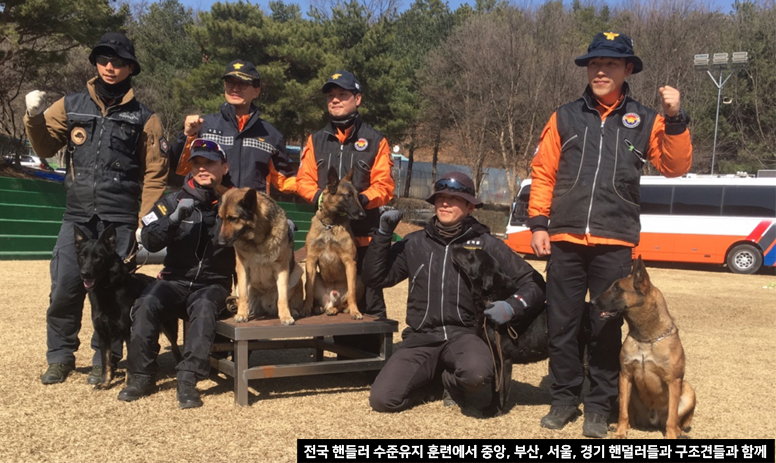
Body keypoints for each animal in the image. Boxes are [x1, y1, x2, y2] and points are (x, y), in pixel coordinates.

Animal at [73, 224, 182, 388]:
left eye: (98, 257)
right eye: (82, 256)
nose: (84, 274)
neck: (109, 290)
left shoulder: (129, 335)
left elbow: (131, 362)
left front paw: (128, 384)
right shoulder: (103, 336)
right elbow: (106, 363)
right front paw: (105, 383)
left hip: (168, 328)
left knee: (175, 348)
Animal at [448, 248, 552, 418]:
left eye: (472, 254)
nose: (455, 247)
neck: (490, 298)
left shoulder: (504, 359)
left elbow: (501, 390)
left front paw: (497, 412)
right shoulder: (494, 357)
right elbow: (494, 388)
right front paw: (491, 408)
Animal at [596, 258, 696, 442]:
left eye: (617, 288)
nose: (592, 301)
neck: (647, 339)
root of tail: (652, 421)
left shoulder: (674, 381)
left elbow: (672, 418)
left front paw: (671, 436)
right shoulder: (625, 376)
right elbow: (622, 412)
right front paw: (620, 432)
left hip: (687, 389)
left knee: (676, 420)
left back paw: (679, 432)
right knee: (629, 414)